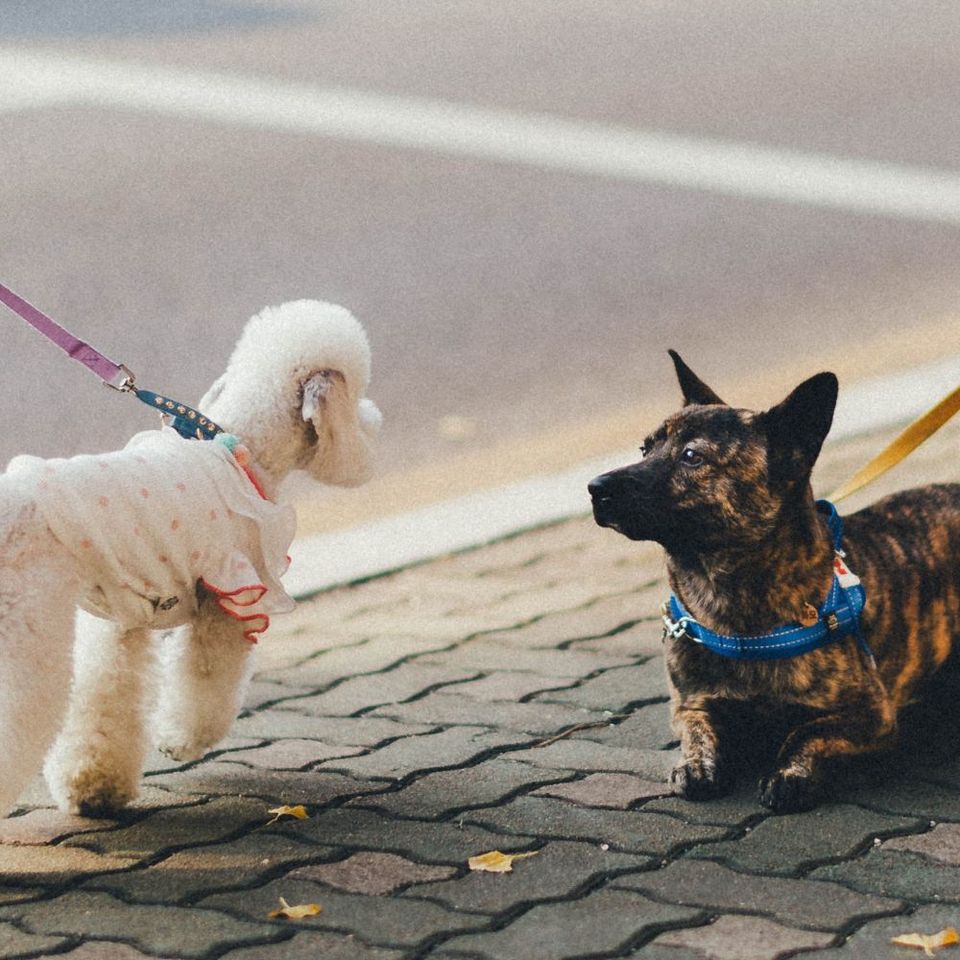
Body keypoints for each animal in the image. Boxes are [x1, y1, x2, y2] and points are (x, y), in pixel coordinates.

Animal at [588, 356, 960, 812]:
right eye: (645, 449)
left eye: (692, 456)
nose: (595, 488)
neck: (727, 597)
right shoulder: (689, 705)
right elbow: (697, 729)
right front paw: (695, 764)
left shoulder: (873, 713)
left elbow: (806, 730)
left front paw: (789, 772)